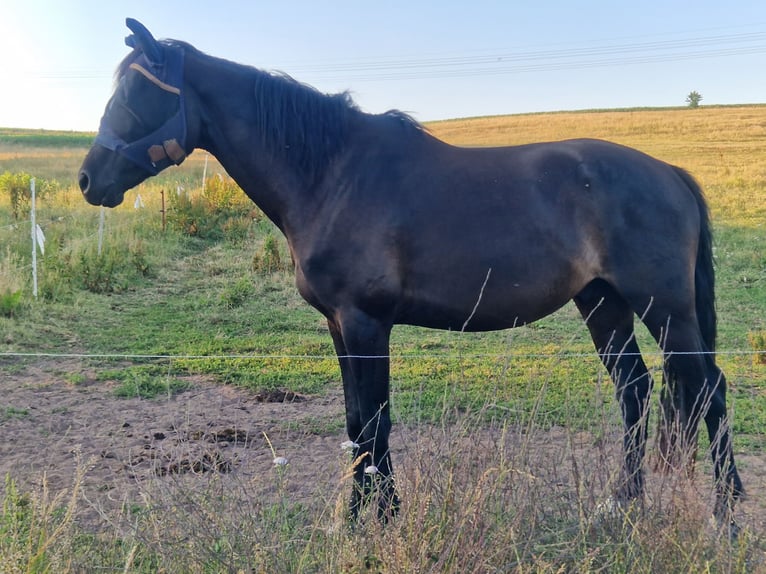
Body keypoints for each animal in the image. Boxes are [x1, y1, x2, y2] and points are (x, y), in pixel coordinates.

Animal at [78, 19, 744, 528]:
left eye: (135, 97)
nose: (89, 181)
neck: (332, 175)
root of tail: (671, 174)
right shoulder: (340, 327)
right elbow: (357, 423)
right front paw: (359, 517)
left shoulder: (366, 322)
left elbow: (375, 421)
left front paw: (379, 518)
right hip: (603, 302)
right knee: (635, 390)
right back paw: (620, 504)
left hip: (666, 308)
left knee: (708, 389)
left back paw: (726, 513)